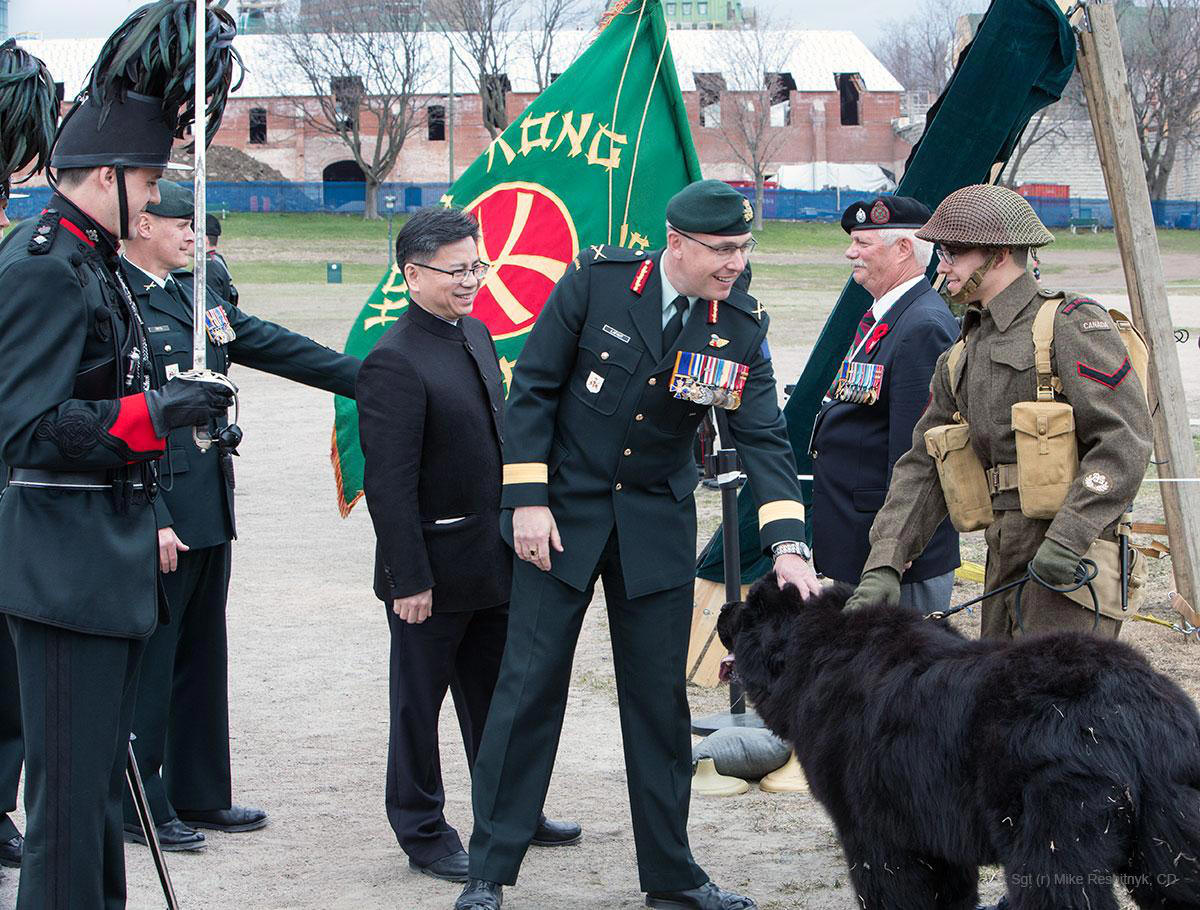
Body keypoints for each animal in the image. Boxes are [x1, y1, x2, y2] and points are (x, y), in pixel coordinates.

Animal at [715, 581, 1200, 907]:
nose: (724, 606)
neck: (816, 654)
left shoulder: (874, 831)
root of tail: (1129, 706)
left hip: (1055, 833)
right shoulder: (934, 831)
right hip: (1169, 827)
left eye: (753, 610)